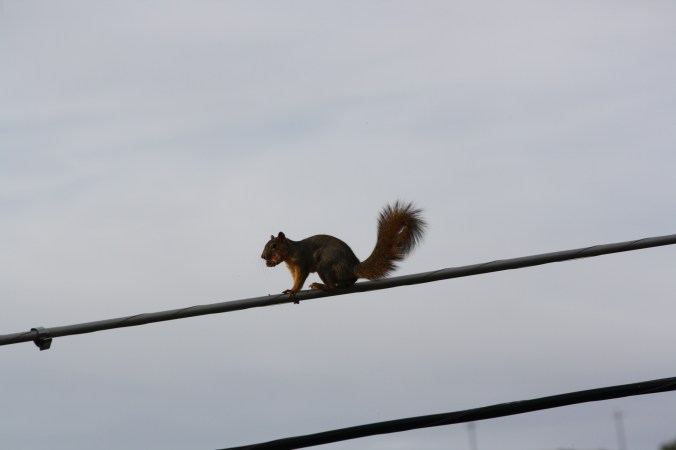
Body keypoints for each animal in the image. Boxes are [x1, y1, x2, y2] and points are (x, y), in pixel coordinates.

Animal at [261, 201, 426, 302]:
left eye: (274, 245)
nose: (263, 257)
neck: (290, 253)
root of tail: (352, 270)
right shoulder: (293, 268)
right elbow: (295, 278)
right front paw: (290, 287)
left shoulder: (302, 262)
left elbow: (300, 279)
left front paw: (294, 291)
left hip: (325, 267)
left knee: (332, 286)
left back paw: (321, 286)